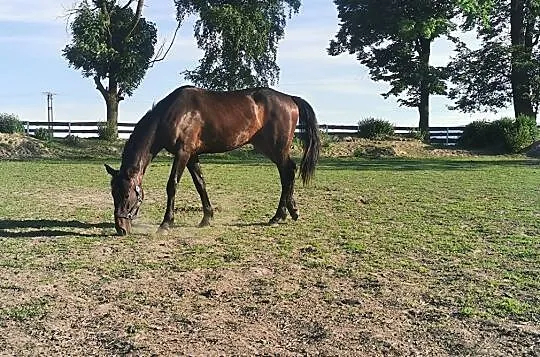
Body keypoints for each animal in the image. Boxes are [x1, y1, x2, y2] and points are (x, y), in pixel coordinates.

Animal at [105, 85, 320, 235]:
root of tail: (290, 99)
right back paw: (290, 211)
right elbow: (201, 184)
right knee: (287, 174)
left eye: (126, 194)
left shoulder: (183, 153)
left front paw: (166, 223)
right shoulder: (192, 156)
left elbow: (172, 185)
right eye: (113, 193)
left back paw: (279, 215)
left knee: (288, 172)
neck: (174, 114)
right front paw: (207, 218)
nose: (121, 228)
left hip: (276, 148)